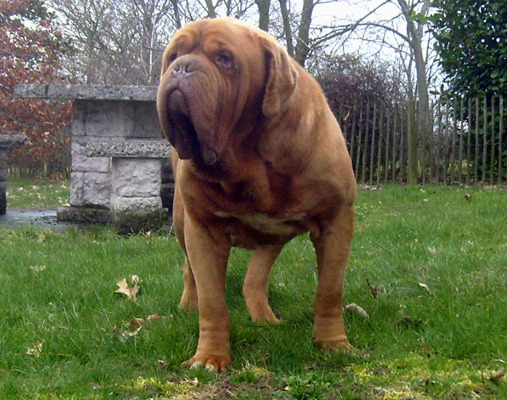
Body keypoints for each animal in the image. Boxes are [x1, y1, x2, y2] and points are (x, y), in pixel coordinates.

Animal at [157, 17, 356, 370]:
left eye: (225, 59)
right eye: (173, 56)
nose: (182, 68)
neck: (248, 160)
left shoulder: (336, 221)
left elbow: (330, 290)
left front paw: (333, 344)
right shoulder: (203, 230)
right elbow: (212, 302)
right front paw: (209, 356)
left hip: (273, 236)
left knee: (254, 280)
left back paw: (265, 319)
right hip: (183, 223)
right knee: (191, 273)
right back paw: (189, 306)